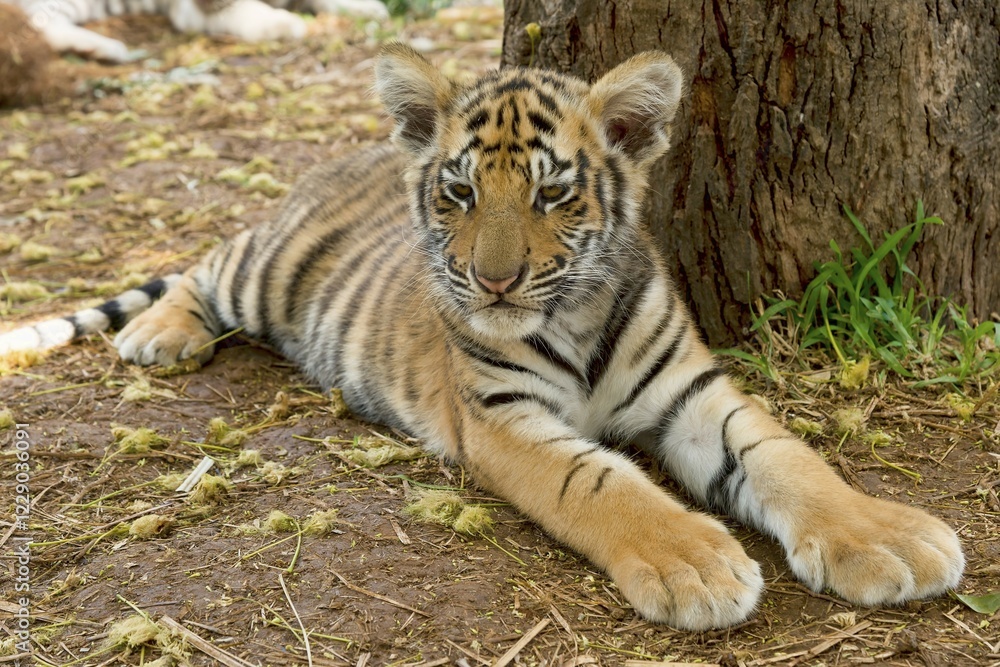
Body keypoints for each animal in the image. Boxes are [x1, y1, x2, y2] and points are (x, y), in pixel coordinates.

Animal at [0, 43, 965, 630]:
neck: (574, 315)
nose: (494, 280)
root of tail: (340, 158)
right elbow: (603, 484)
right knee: (199, 268)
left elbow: (788, 457)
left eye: (553, 194)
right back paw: (158, 335)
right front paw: (697, 563)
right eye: (461, 192)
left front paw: (888, 539)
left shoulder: (692, 394)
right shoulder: (505, 417)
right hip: (262, 268)